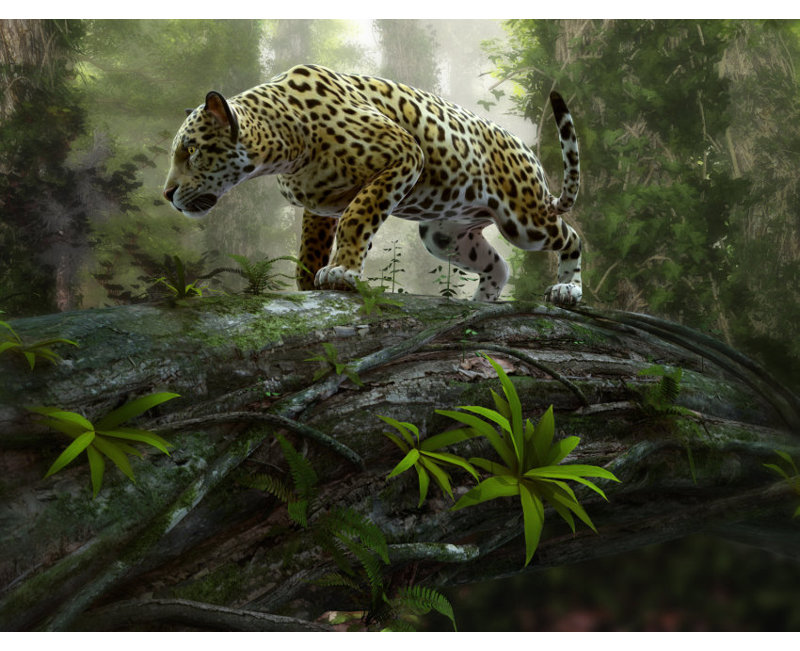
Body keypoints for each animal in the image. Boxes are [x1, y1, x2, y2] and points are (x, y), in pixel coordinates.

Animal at [163, 63, 582, 305]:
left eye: (191, 150)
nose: (167, 194)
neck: (285, 142)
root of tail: (524, 149)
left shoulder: (404, 154)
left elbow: (358, 218)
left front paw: (341, 273)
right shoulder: (320, 203)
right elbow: (310, 248)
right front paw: (310, 285)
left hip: (523, 220)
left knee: (572, 236)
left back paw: (568, 289)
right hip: (444, 236)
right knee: (499, 265)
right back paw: (478, 302)